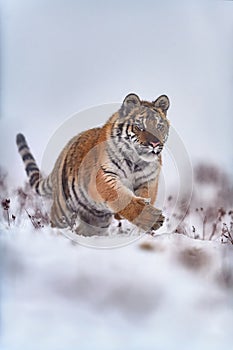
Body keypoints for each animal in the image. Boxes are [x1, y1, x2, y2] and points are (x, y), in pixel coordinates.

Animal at [15, 93, 169, 235]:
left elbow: (143, 196)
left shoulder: (149, 181)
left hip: (96, 221)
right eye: (139, 126)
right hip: (62, 210)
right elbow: (122, 198)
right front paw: (153, 219)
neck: (137, 161)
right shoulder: (105, 175)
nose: (155, 144)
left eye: (159, 126)